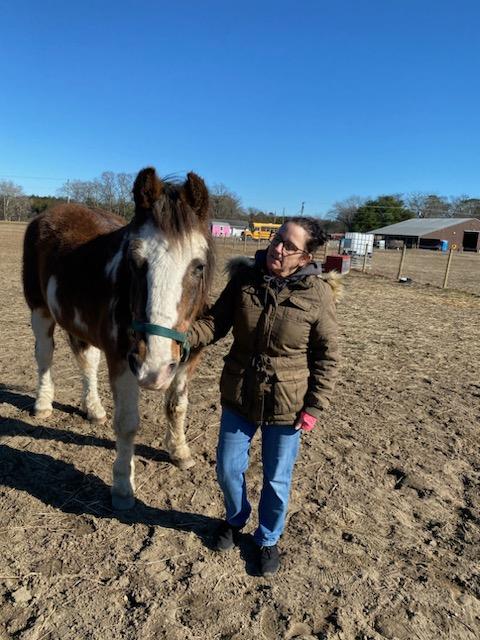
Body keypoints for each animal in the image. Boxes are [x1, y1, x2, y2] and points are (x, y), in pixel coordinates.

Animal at [22, 168, 214, 508]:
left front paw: (179, 451)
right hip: (40, 310)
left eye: (198, 266)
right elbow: (127, 424)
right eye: (135, 263)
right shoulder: (124, 359)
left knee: (87, 361)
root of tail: (50, 213)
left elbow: (177, 405)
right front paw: (123, 487)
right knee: (44, 354)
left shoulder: (189, 355)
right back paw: (43, 404)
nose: (154, 367)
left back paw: (94, 409)